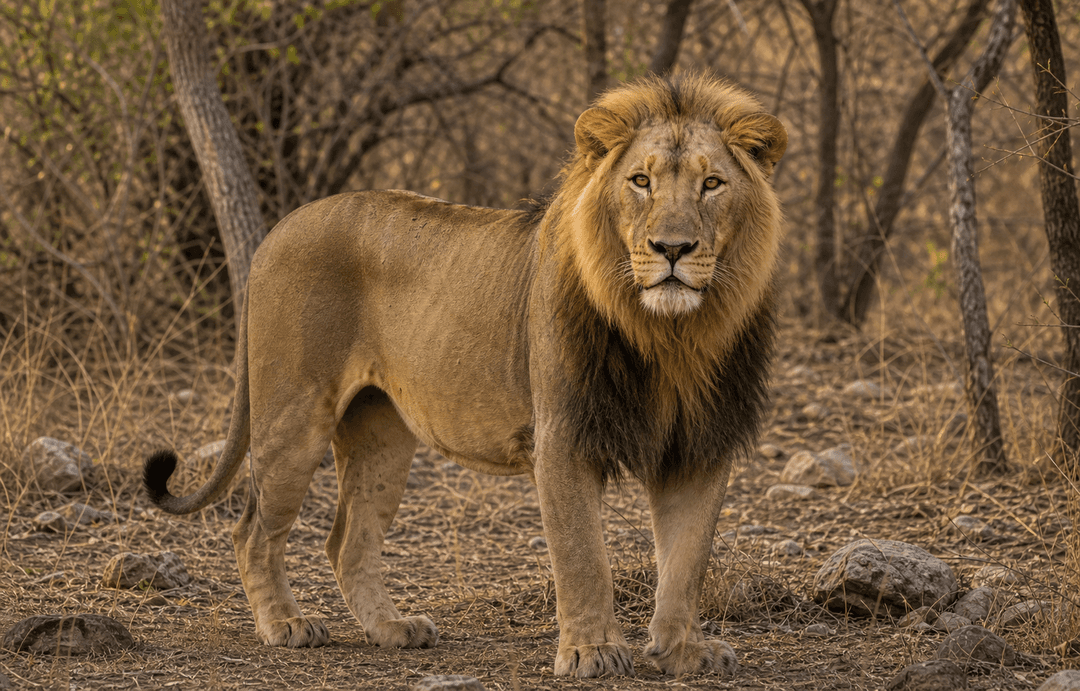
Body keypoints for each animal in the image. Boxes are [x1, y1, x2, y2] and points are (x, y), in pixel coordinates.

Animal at [144, 73, 786, 678]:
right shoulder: (562, 437)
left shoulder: (700, 445)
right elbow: (583, 556)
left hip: (381, 433)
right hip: (293, 415)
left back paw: (392, 629)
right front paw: (592, 651)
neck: (670, 337)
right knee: (253, 530)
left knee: (348, 540)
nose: (672, 248)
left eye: (712, 184)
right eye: (641, 182)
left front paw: (684, 651)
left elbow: (686, 562)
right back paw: (285, 624)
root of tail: (275, 232)